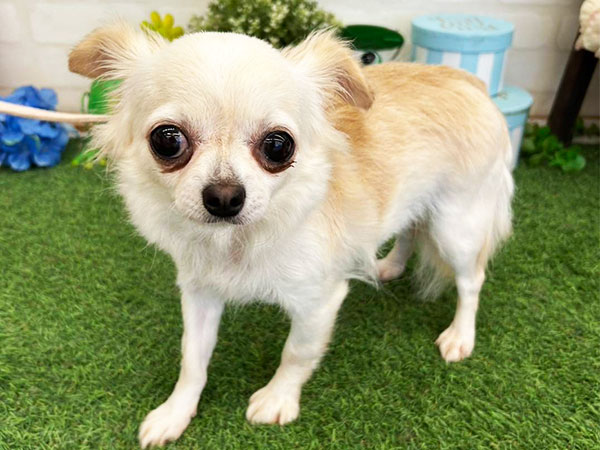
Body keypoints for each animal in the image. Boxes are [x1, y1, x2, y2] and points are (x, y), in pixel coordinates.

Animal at [69, 22, 514, 448]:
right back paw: (388, 266)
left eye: (278, 146)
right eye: (167, 139)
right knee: (411, 230)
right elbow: (192, 358)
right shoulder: (200, 293)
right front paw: (175, 413)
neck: (237, 243)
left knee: (471, 280)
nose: (225, 196)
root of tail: (470, 82)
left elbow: (297, 353)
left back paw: (460, 336)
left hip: (457, 226)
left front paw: (278, 399)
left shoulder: (319, 302)